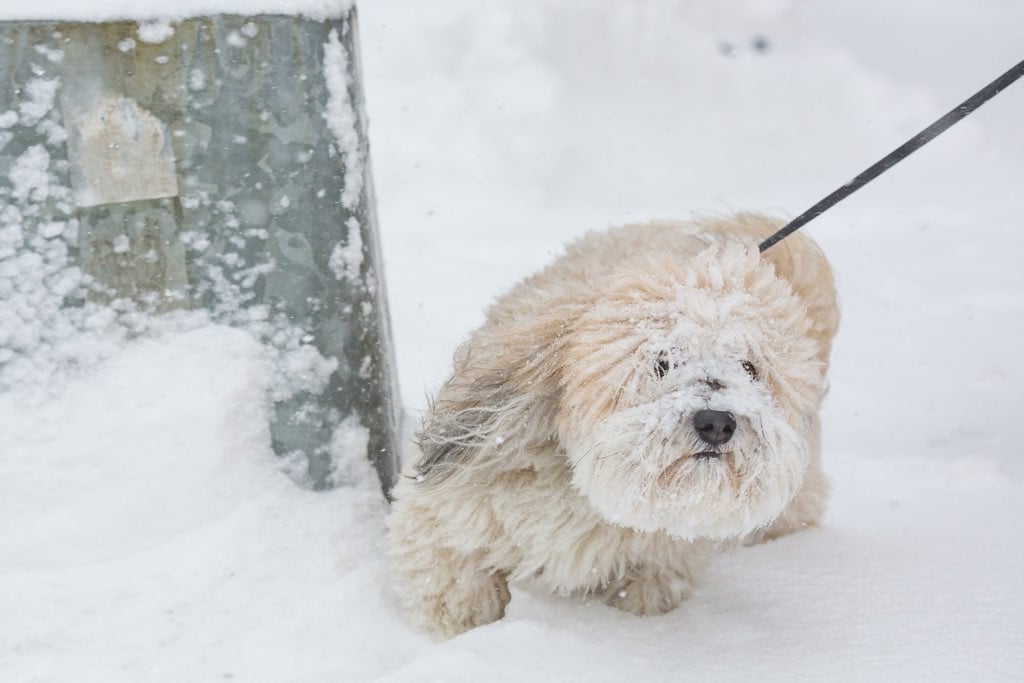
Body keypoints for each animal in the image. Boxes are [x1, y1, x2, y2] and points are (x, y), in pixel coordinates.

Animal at [387, 211, 835, 634]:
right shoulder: (449, 513)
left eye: (749, 367)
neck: (584, 486)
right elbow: (455, 584)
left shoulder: (656, 566)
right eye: (662, 362)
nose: (717, 423)